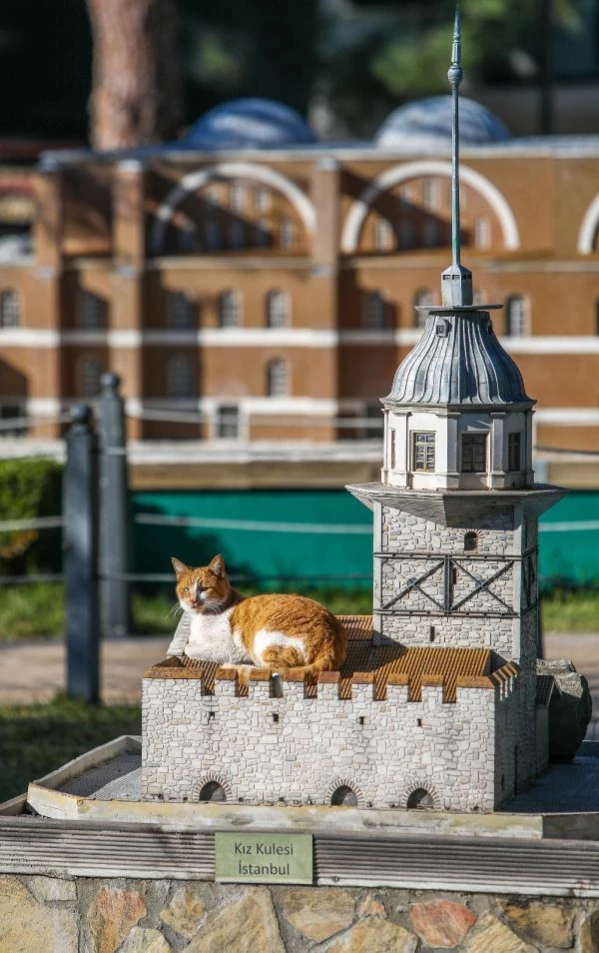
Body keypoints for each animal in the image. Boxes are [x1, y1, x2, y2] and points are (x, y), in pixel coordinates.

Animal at [171, 552, 346, 676]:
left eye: (204, 589)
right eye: (186, 589)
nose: (193, 600)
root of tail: (331, 642)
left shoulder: (230, 648)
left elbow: (189, 647)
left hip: (263, 641)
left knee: (274, 671)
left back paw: (233, 667)